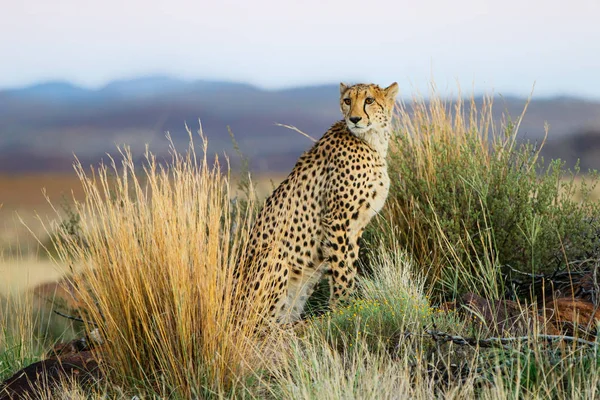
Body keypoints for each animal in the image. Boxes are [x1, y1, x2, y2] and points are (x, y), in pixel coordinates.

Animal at [239, 81, 398, 324]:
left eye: (369, 100)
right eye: (347, 101)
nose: (354, 119)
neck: (372, 140)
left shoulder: (356, 226)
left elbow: (349, 265)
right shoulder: (337, 220)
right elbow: (342, 269)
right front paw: (343, 309)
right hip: (274, 258)